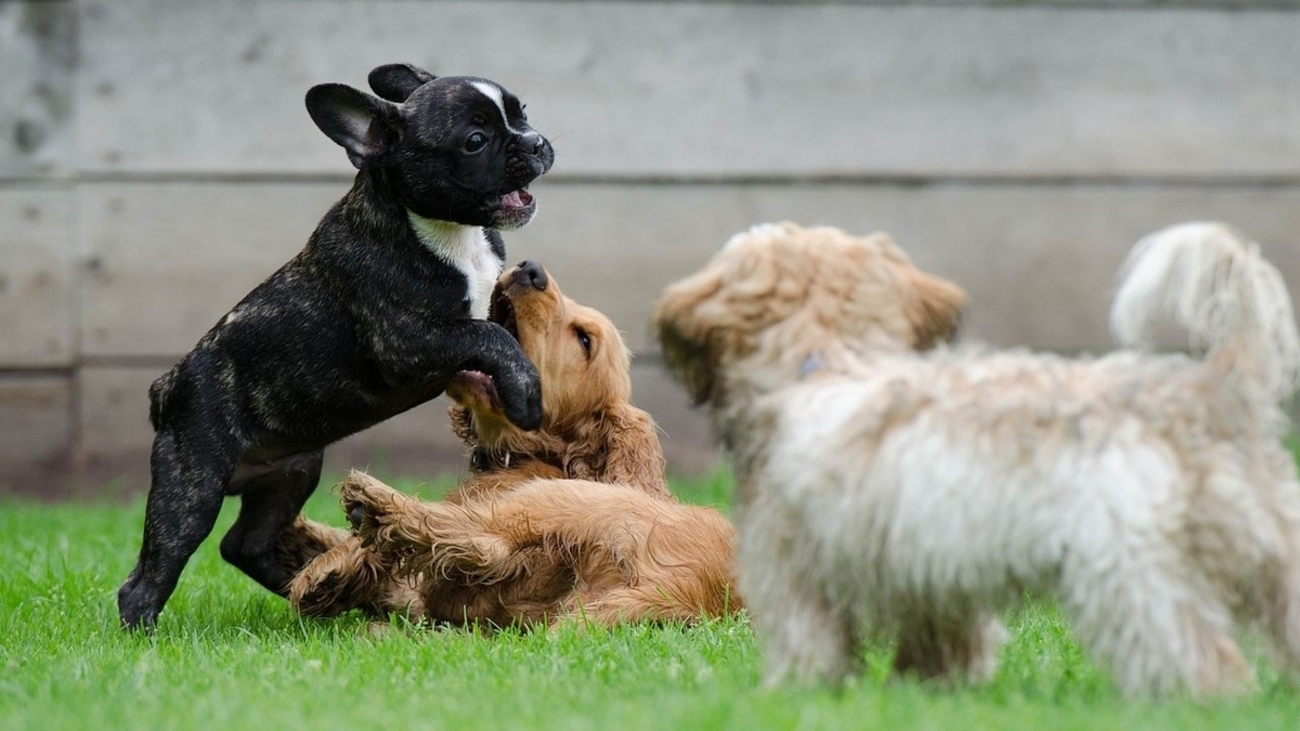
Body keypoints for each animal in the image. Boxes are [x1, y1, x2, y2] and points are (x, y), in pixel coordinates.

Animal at [280, 258, 738, 624]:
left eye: (584, 339)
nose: (529, 269)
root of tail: (688, 588)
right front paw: (311, 545)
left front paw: (326, 566)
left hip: (563, 501)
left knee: (484, 541)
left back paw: (373, 503)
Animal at [655, 217, 1300, 691]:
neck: (828, 360)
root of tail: (1213, 387)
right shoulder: (932, 577)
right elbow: (943, 644)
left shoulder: (795, 571)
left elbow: (809, 644)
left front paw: (797, 694)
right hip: (1277, 559)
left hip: (1131, 573)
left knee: (1201, 658)